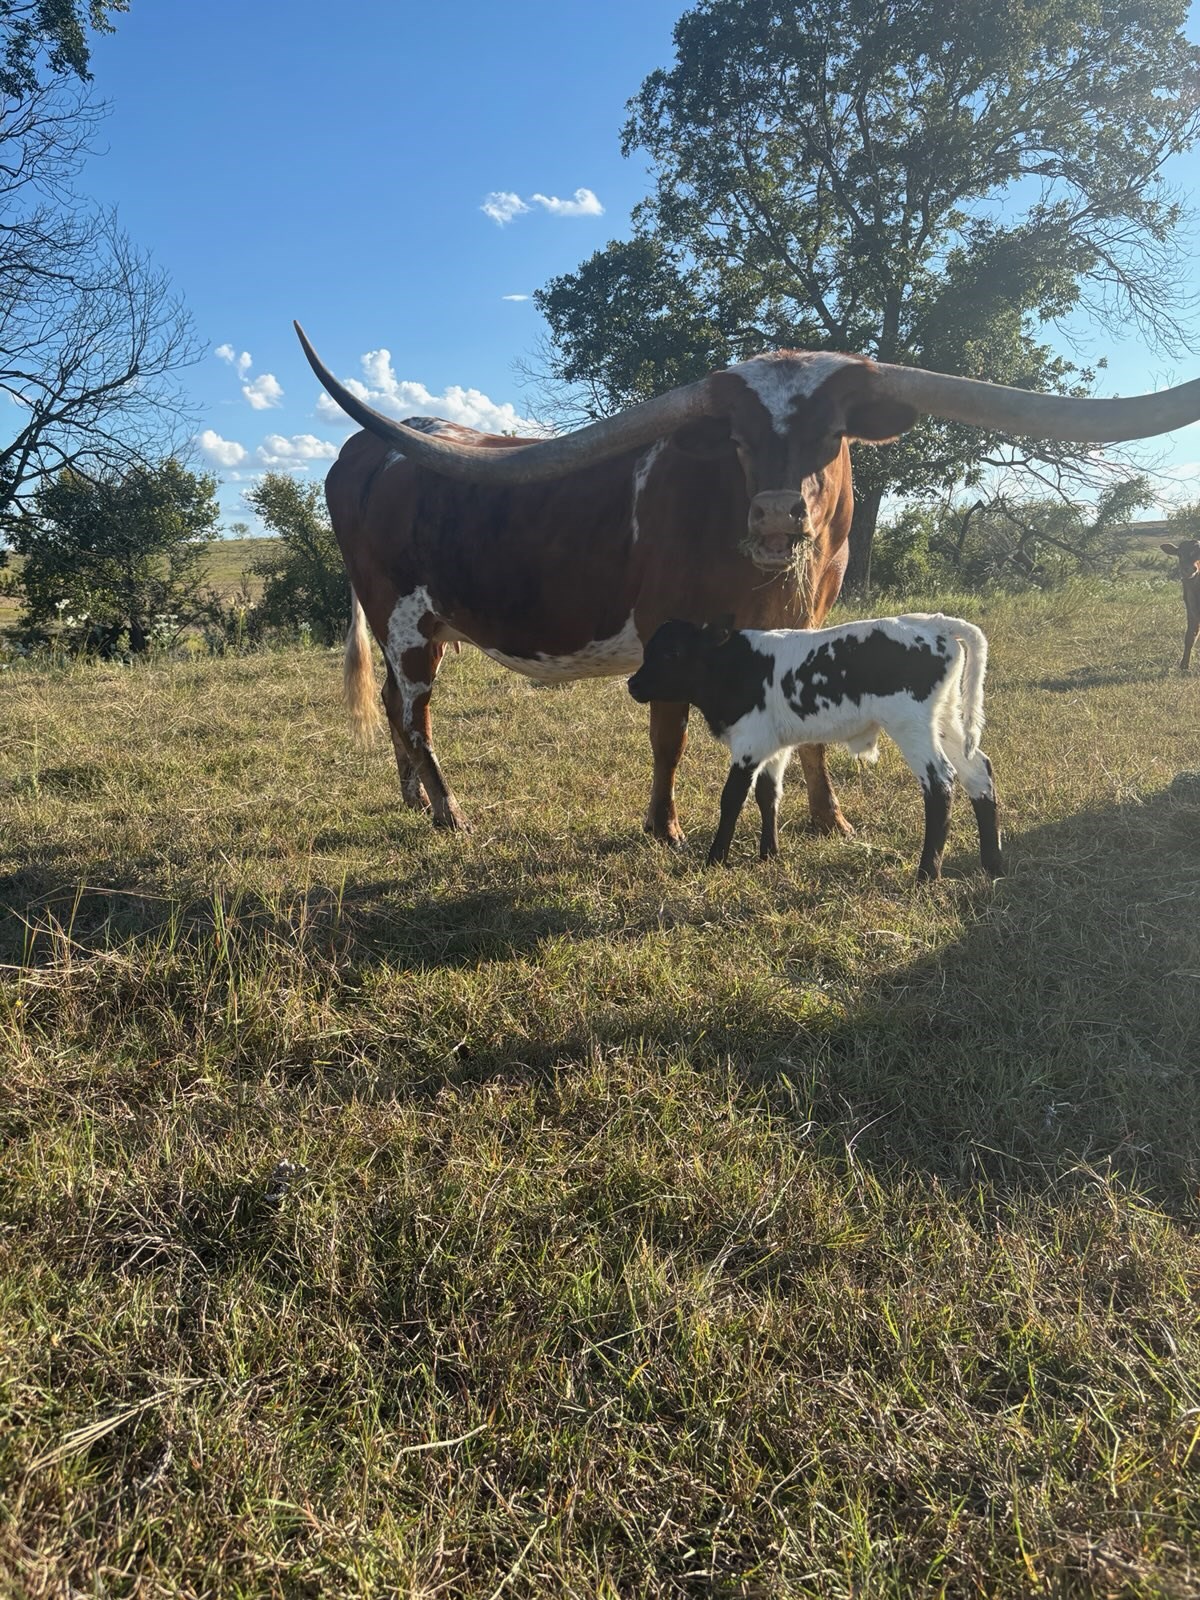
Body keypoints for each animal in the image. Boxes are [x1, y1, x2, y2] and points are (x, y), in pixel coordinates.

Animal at [627, 614, 1002, 883]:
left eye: (672, 653)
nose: (632, 684)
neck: (737, 667)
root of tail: (934, 621)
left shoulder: (749, 742)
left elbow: (732, 798)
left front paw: (715, 858)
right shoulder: (773, 745)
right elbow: (768, 794)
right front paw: (769, 855)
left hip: (911, 726)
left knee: (940, 783)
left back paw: (927, 874)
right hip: (945, 720)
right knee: (978, 773)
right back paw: (992, 864)